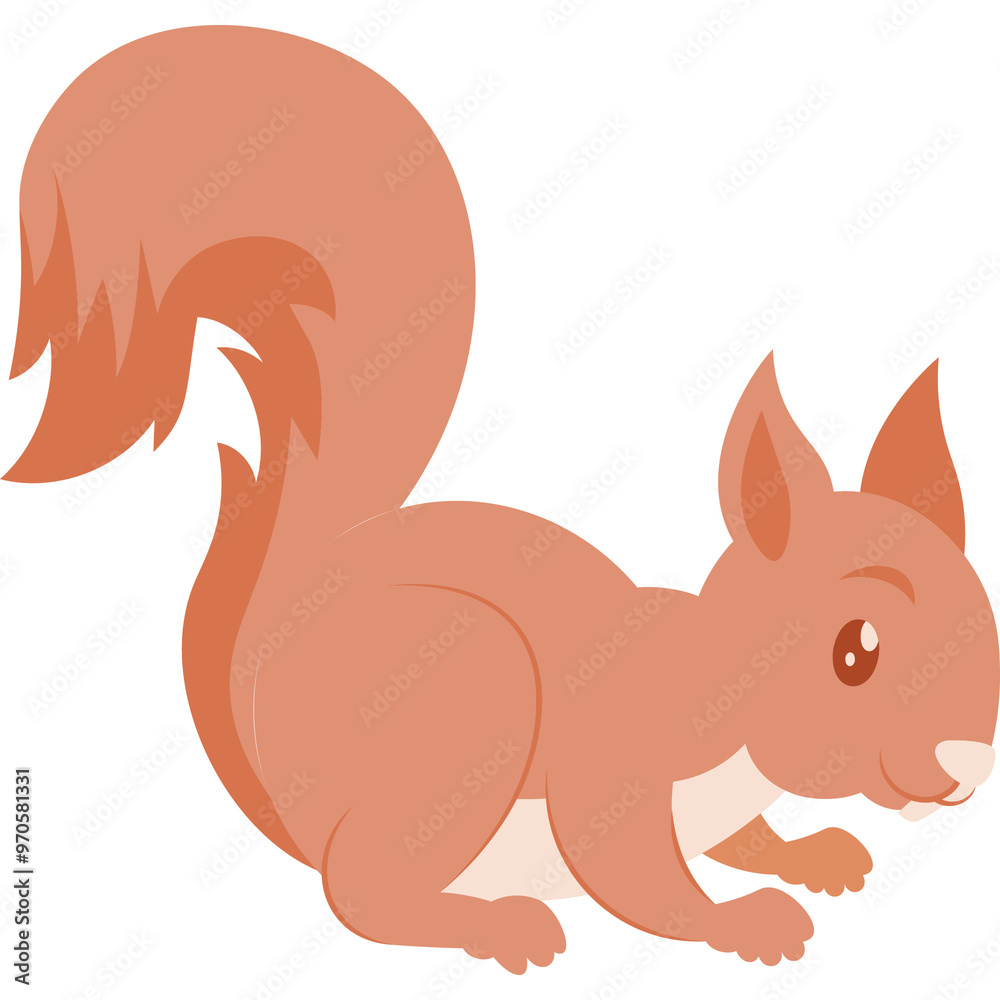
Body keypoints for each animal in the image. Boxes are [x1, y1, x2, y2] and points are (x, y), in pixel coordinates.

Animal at [6, 25, 998, 974]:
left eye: (982, 614)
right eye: (854, 651)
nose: (966, 765)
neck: (724, 686)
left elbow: (744, 838)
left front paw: (810, 854)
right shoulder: (616, 769)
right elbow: (636, 878)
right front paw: (740, 921)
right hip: (465, 713)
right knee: (355, 890)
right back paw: (494, 926)